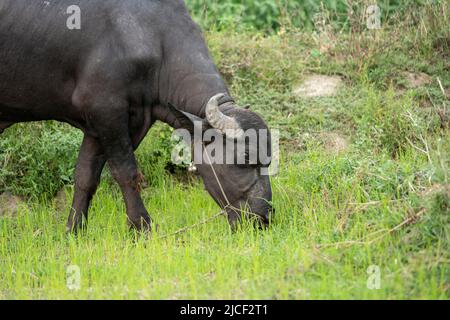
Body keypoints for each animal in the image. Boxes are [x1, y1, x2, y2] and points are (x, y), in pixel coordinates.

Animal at [0, 0, 274, 232]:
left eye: (268, 159)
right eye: (245, 158)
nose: (263, 217)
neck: (153, 38)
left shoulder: (107, 124)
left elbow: (85, 177)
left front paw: (74, 230)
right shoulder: (107, 112)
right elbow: (127, 173)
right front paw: (142, 228)